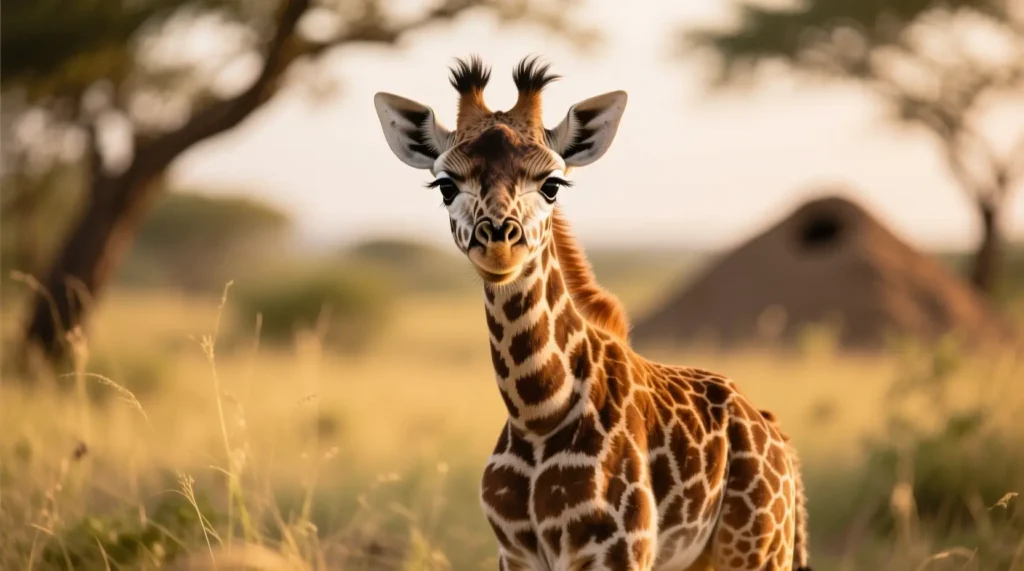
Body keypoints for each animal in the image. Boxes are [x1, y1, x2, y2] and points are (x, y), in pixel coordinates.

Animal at [373, 55, 811, 571]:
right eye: (445, 185)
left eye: (551, 184)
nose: (499, 242)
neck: (538, 413)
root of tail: (774, 433)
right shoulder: (515, 553)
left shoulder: (618, 550)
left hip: (755, 549)